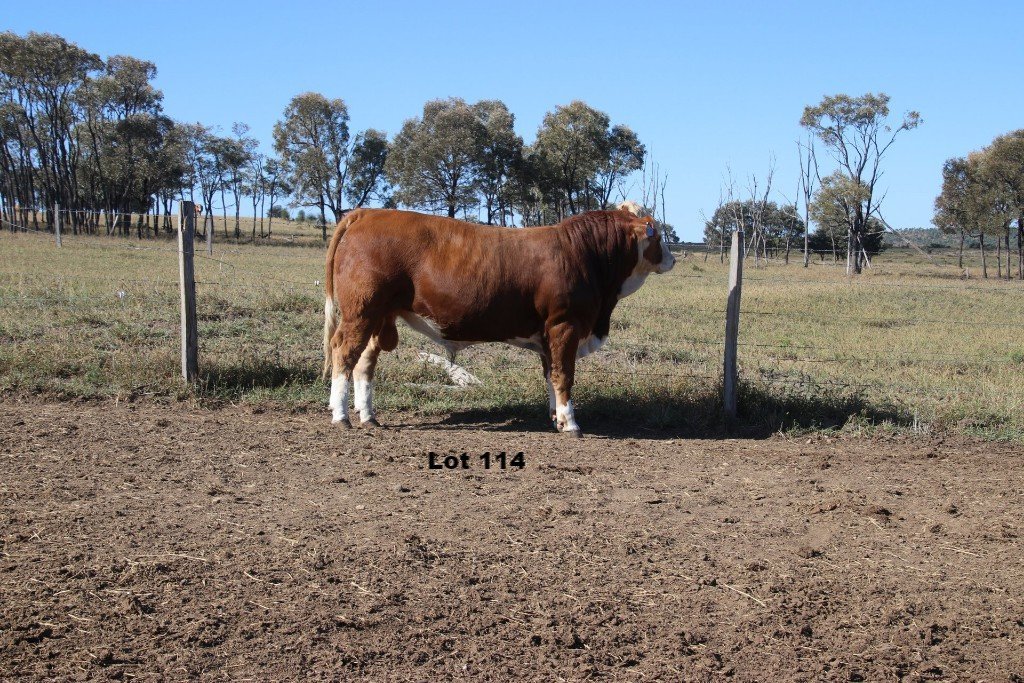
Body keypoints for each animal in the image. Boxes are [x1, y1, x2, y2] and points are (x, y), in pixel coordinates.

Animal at [322, 202, 675, 436]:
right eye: (657, 235)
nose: (672, 259)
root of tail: (368, 212)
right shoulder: (565, 325)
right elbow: (564, 375)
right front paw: (571, 422)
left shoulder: (547, 333)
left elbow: (550, 374)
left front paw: (555, 417)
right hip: (361, 311)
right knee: (344, 352)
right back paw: (341, 416)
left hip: (379, 316)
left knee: (365, 362)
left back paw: (369, 416)